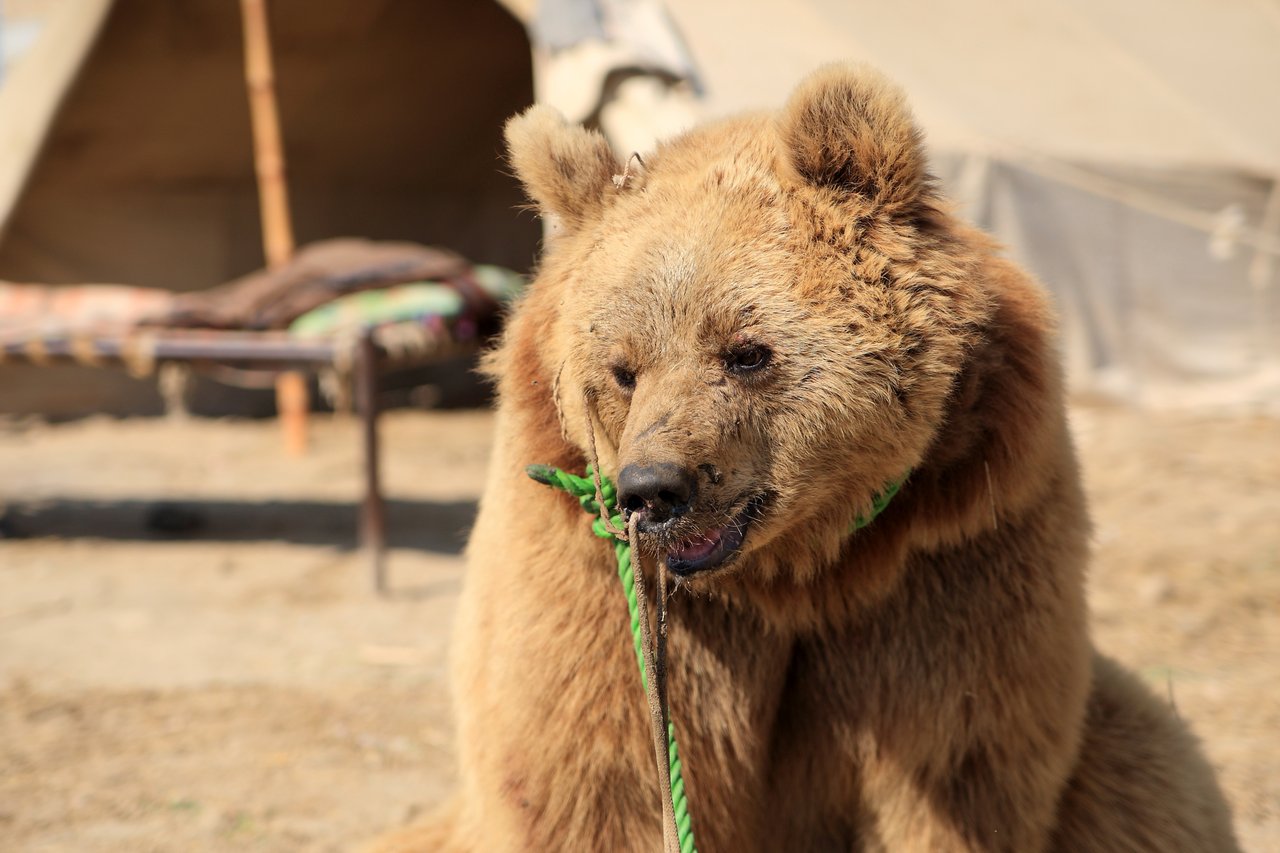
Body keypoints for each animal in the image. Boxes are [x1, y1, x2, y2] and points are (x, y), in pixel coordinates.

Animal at [369, 65, 1240, 852]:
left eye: (746, 351)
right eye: (621, 368)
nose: (654, 488)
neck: (792, 573)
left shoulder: (952, 561)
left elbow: (948, 772)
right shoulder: (591, 587)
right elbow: (603, 777)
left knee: (1151, 767)